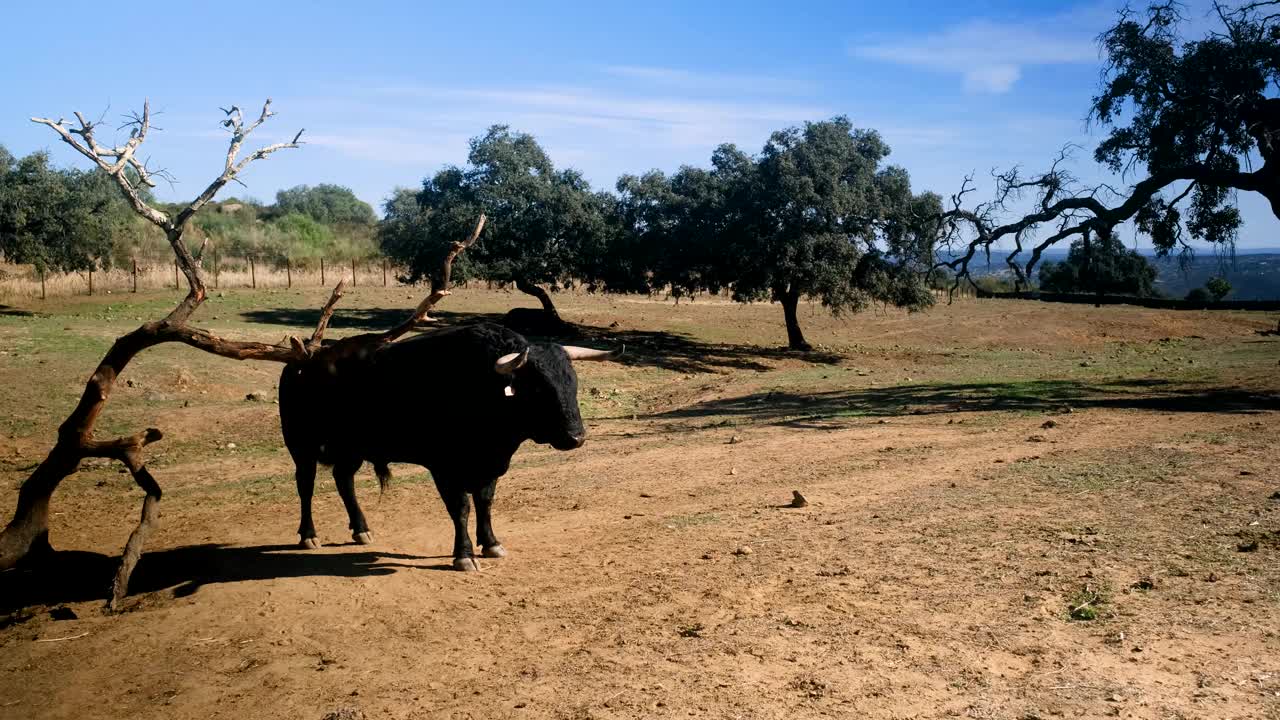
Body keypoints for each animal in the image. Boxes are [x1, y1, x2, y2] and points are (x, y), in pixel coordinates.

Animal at [280, 322, 619, 568]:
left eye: (571, 382)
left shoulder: (489, 463)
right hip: (301, 445)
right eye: (537, 387)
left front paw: (491, 543)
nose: (576, 437)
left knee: (343, 480)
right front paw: (464, 555)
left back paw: (361, 528)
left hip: (352, 447)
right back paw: (308, 535)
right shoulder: (444, 468)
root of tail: (304, 359)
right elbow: (461, 508)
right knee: (306, 485)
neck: (481, 385)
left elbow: (485, 502)